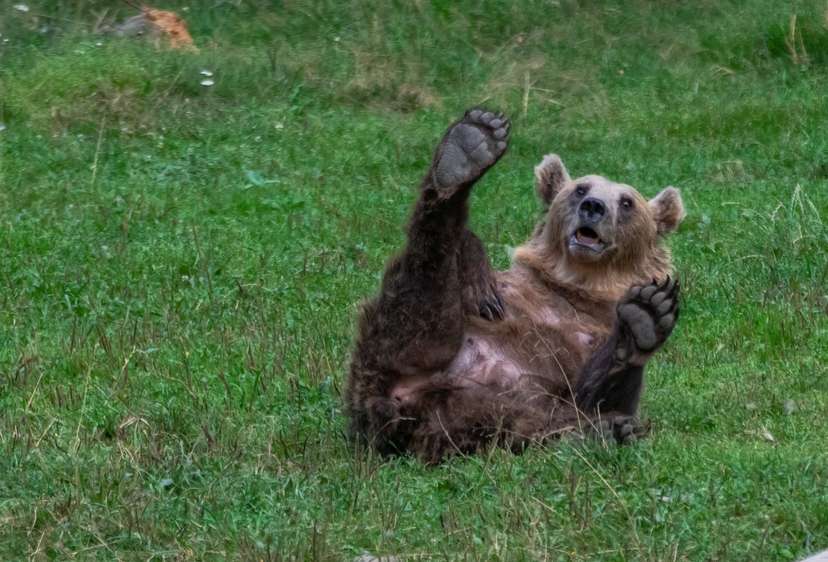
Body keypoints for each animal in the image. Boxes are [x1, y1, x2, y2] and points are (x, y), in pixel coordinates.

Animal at [345, 109, 685, 463]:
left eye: (627, 202)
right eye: (580, 189)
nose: (593, 205)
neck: (579, 284)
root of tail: (399, 402)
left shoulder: (593, 335)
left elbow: (593, 393)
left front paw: (645, 316)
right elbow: (473, 259)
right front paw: (481, 285)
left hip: (475, 410)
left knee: (529, 423)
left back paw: (604, 430)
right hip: (382, 351)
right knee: (419, 285)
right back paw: (467, 149)